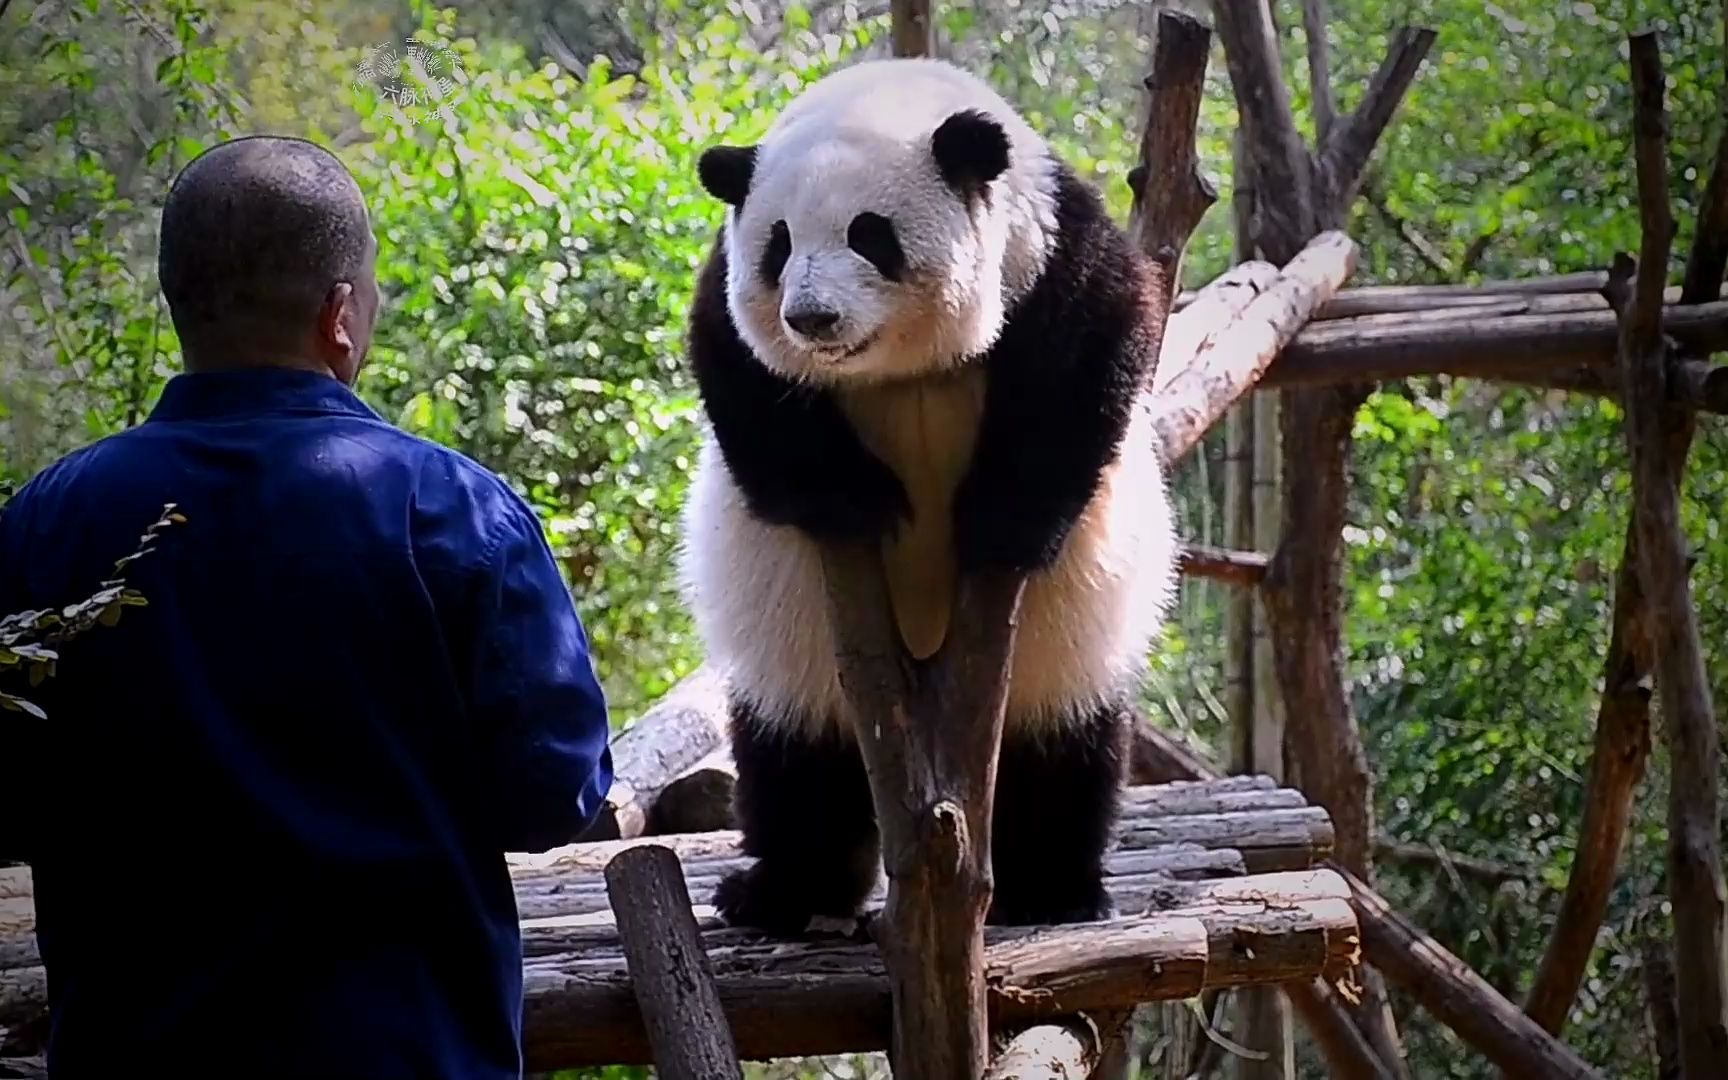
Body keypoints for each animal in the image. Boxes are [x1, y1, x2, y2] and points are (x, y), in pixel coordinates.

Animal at [680, 57, 1181, 926]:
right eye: (778, 246)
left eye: (869, 234)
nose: (812, 318)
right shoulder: (729, 298)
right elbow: (743, 377)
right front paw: (857, 502)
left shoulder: (1049, 252)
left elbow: (1097, 355)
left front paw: (1001, 526)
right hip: (794, 639)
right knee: (793, 755)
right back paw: (781, 888)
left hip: (1067, 636)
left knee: (1063, 745)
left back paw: (1052, 887)